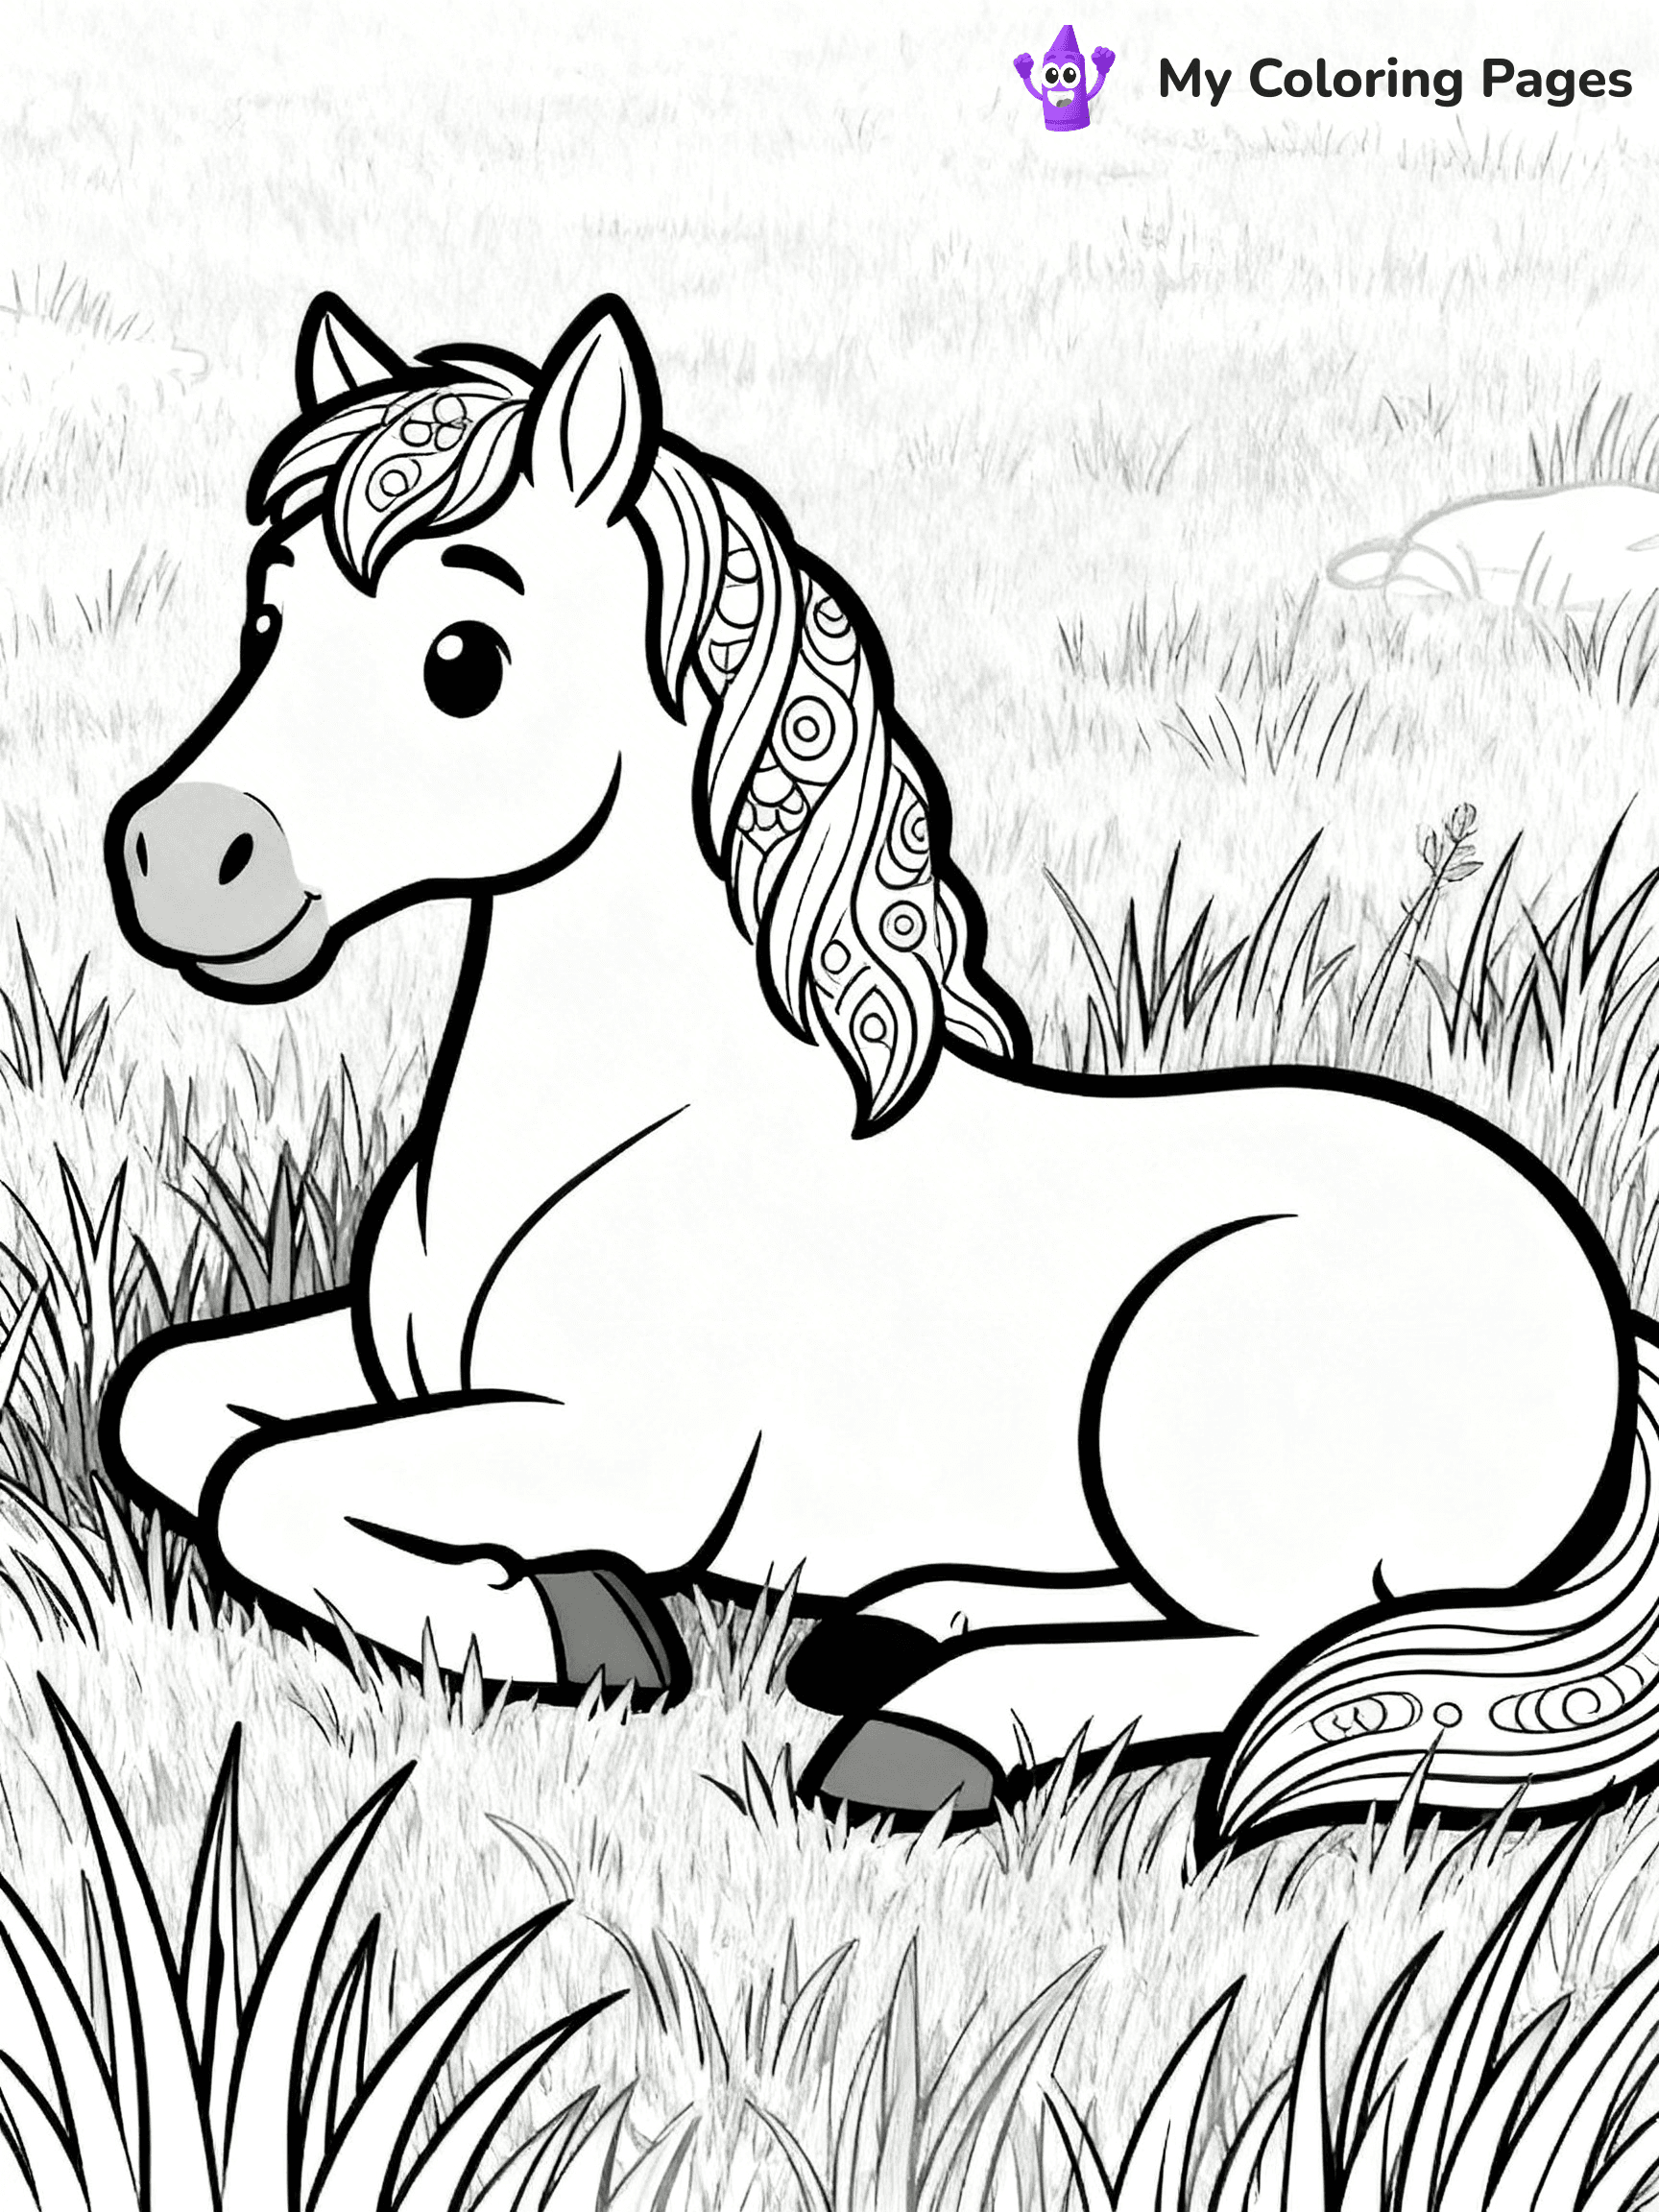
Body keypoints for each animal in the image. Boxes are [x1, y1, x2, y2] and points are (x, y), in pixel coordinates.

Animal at [100, 291, 1659, 1856]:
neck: (627, 1133)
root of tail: (1592, 1292)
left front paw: (571, 1622)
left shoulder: (625, 1454)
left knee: (1269, 1642)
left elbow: (259, 1484)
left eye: (464, 660)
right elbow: (170, 1410)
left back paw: (928, 1727)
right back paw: (898, 1628)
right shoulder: (383, 1363)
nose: (180, 862)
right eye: (266, 620)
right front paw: (552, 1607)